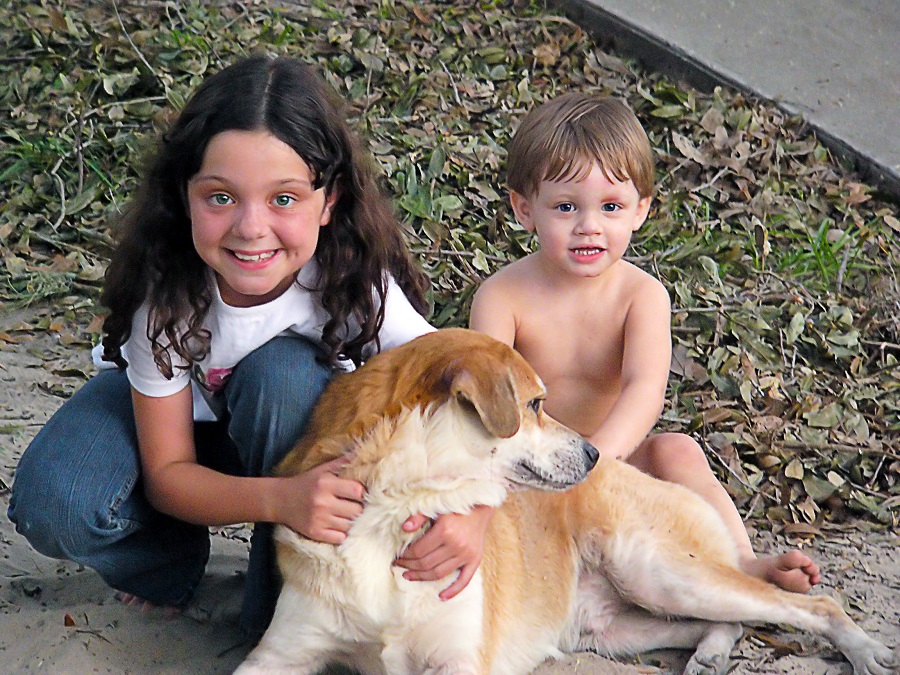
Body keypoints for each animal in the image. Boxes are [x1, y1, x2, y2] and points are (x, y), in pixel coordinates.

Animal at [236, 328, 896, 675]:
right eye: (534, 404)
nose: (594, 453)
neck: (400, 512)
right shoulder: (278, 655)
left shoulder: (461, 662)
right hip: (615, 629)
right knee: (722, 621)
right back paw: (710, 654)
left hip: (660, 572)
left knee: (813, 604)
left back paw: (865, 651)